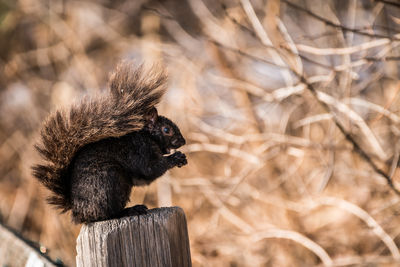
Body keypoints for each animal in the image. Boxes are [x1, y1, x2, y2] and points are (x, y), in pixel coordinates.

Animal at [31, 62, 188, 224]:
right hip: (110, 181)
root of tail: (78, 212)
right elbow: (151, 168)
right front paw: (176, 158)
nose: (183, 141)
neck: (148, 137)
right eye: (166, 129)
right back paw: (130, 210)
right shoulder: (140, 150)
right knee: (109, 213)